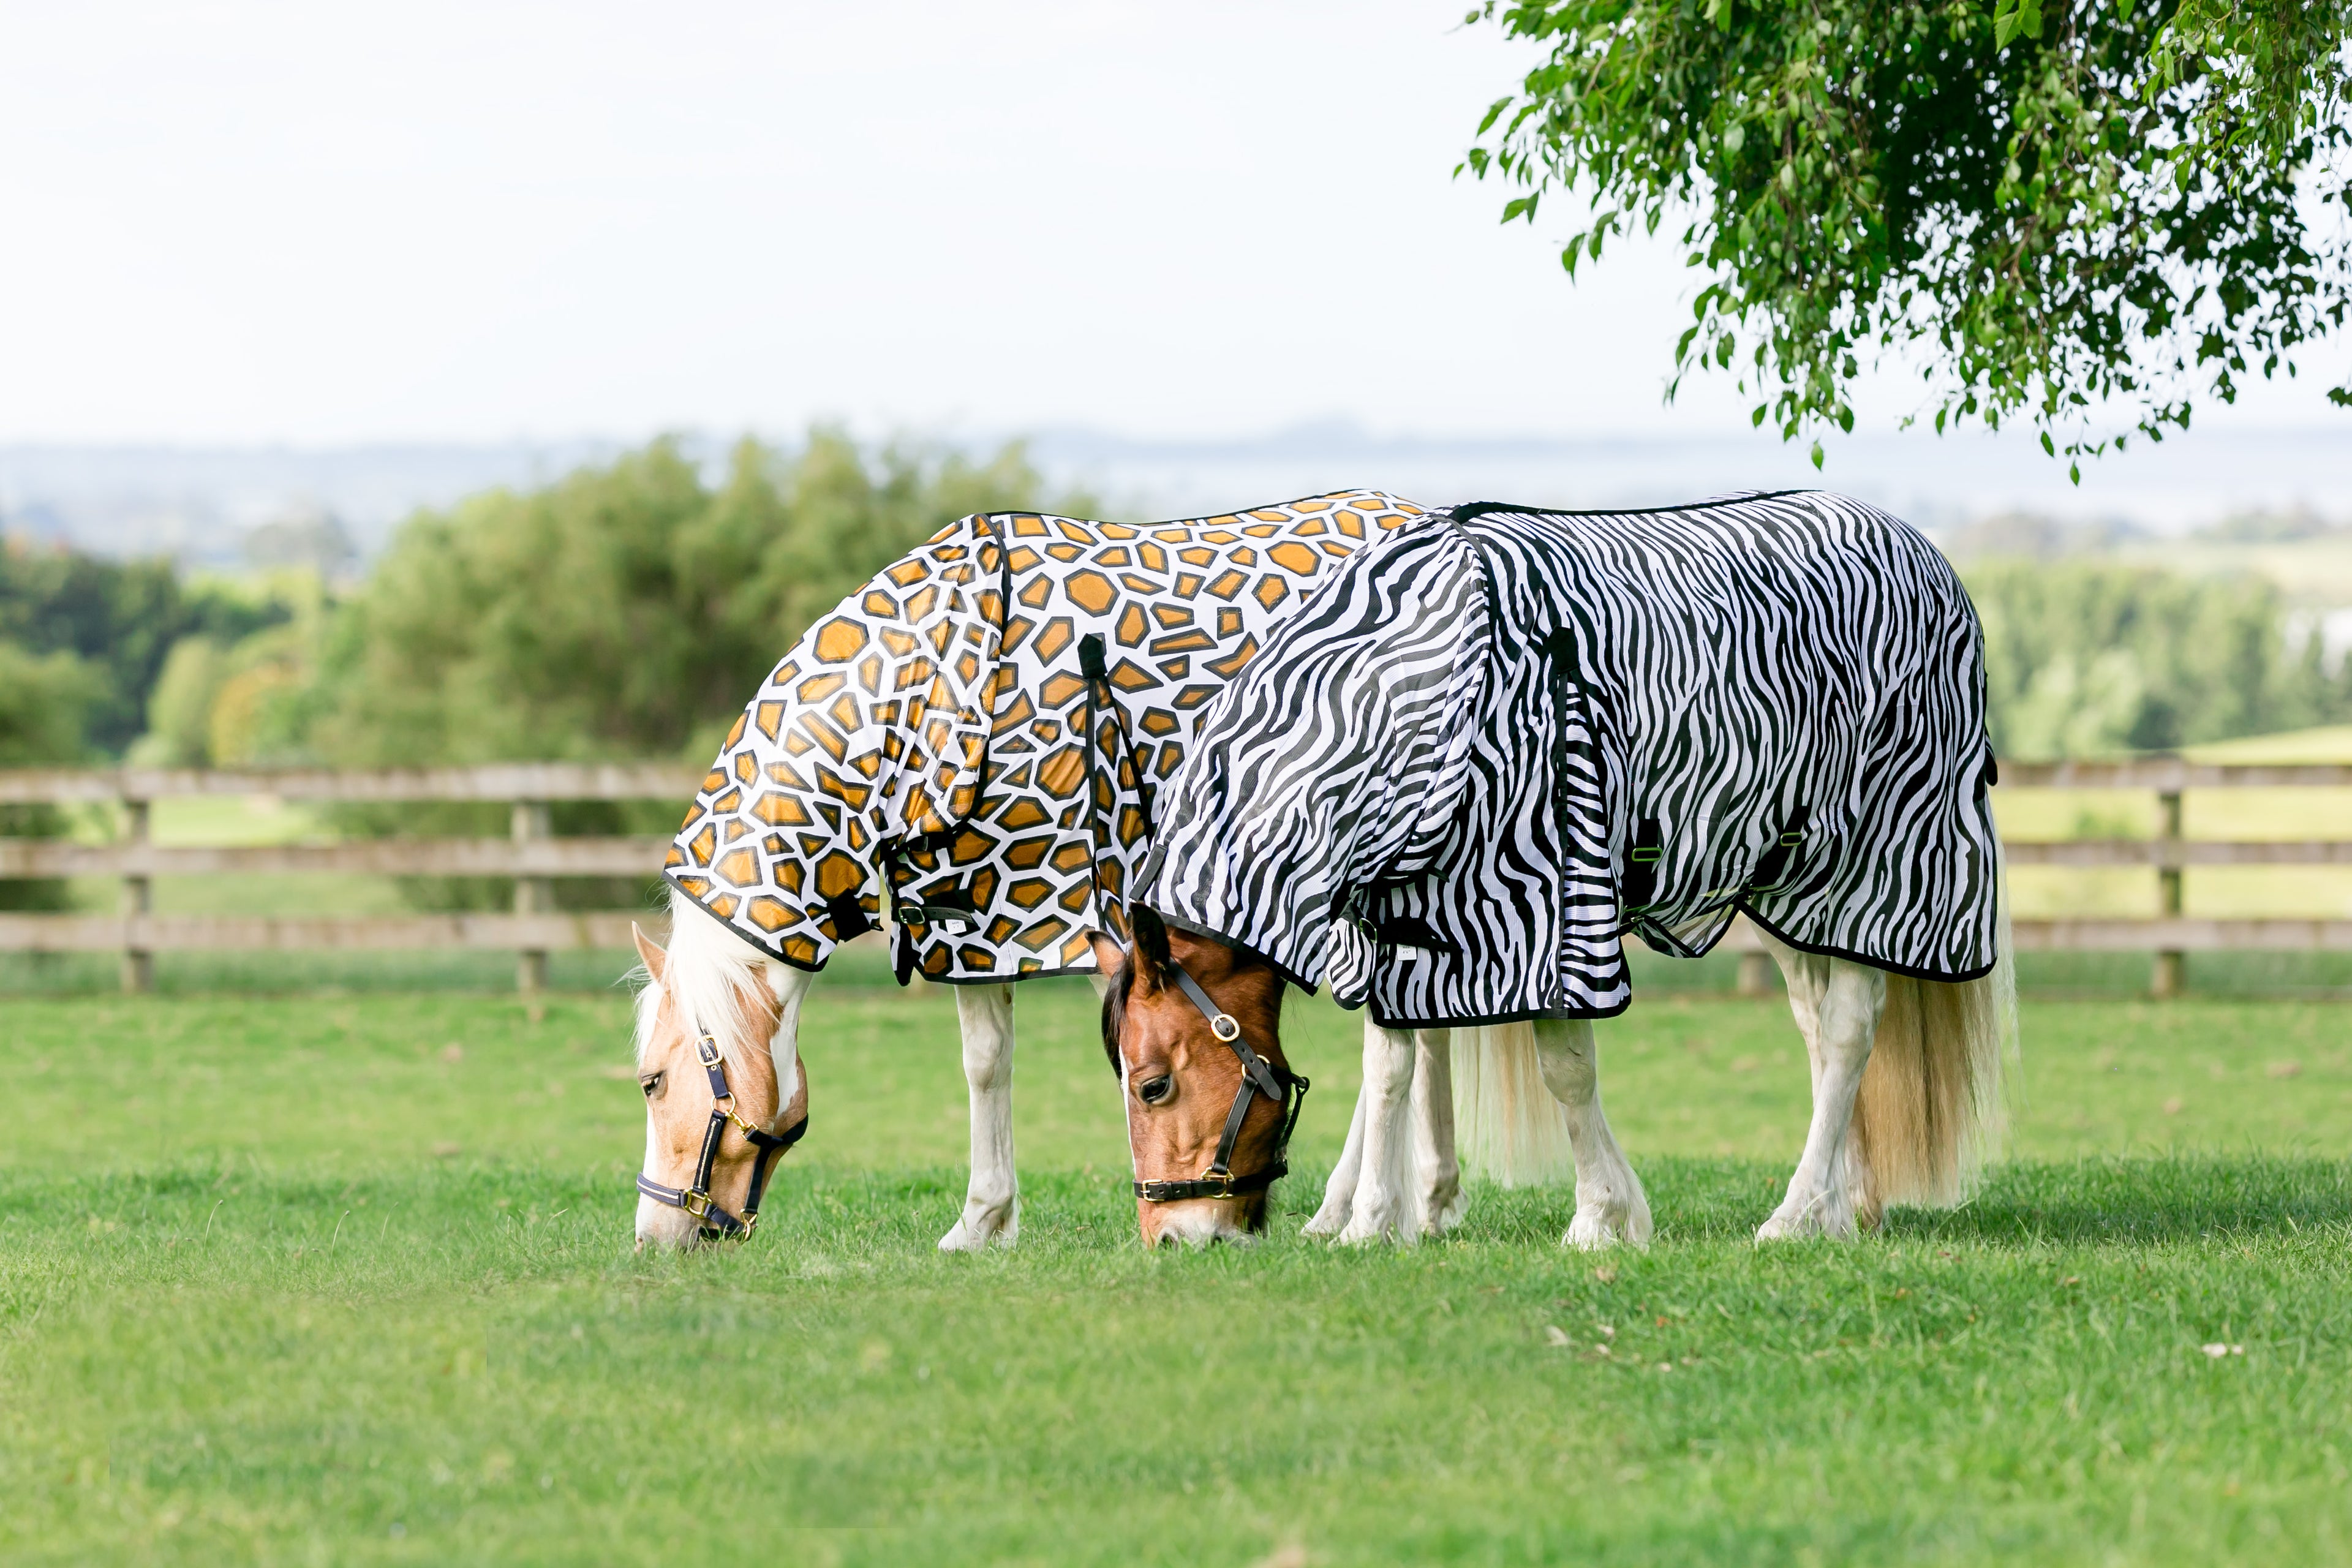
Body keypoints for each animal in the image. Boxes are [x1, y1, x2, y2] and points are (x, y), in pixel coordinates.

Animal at [631, 490, 1433, 1248]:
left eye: (651, 1082)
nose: (653, 1237)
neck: (932, 688)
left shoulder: (1097, 912)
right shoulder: (971, 919)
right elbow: (986, 1062)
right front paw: (983, 1222)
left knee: (1395, 1050)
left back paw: (1373, 1214)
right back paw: (1419, 1205)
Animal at [1103, 492, 2016, 1246]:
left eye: (1152, 1086)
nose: (1174, 1239)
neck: (1428, 694)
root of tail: (1926, 555)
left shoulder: (1547, 910)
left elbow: (1566, 1071)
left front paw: (1603, 1217)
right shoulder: (1401, 914)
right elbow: (1390, 1068)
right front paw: (1370, 1226)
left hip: (1872, 871)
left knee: (1851, 1027)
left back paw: (1793, 1217)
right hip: (1788, 890)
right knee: (1827, 1038)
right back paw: (1837, 1206)